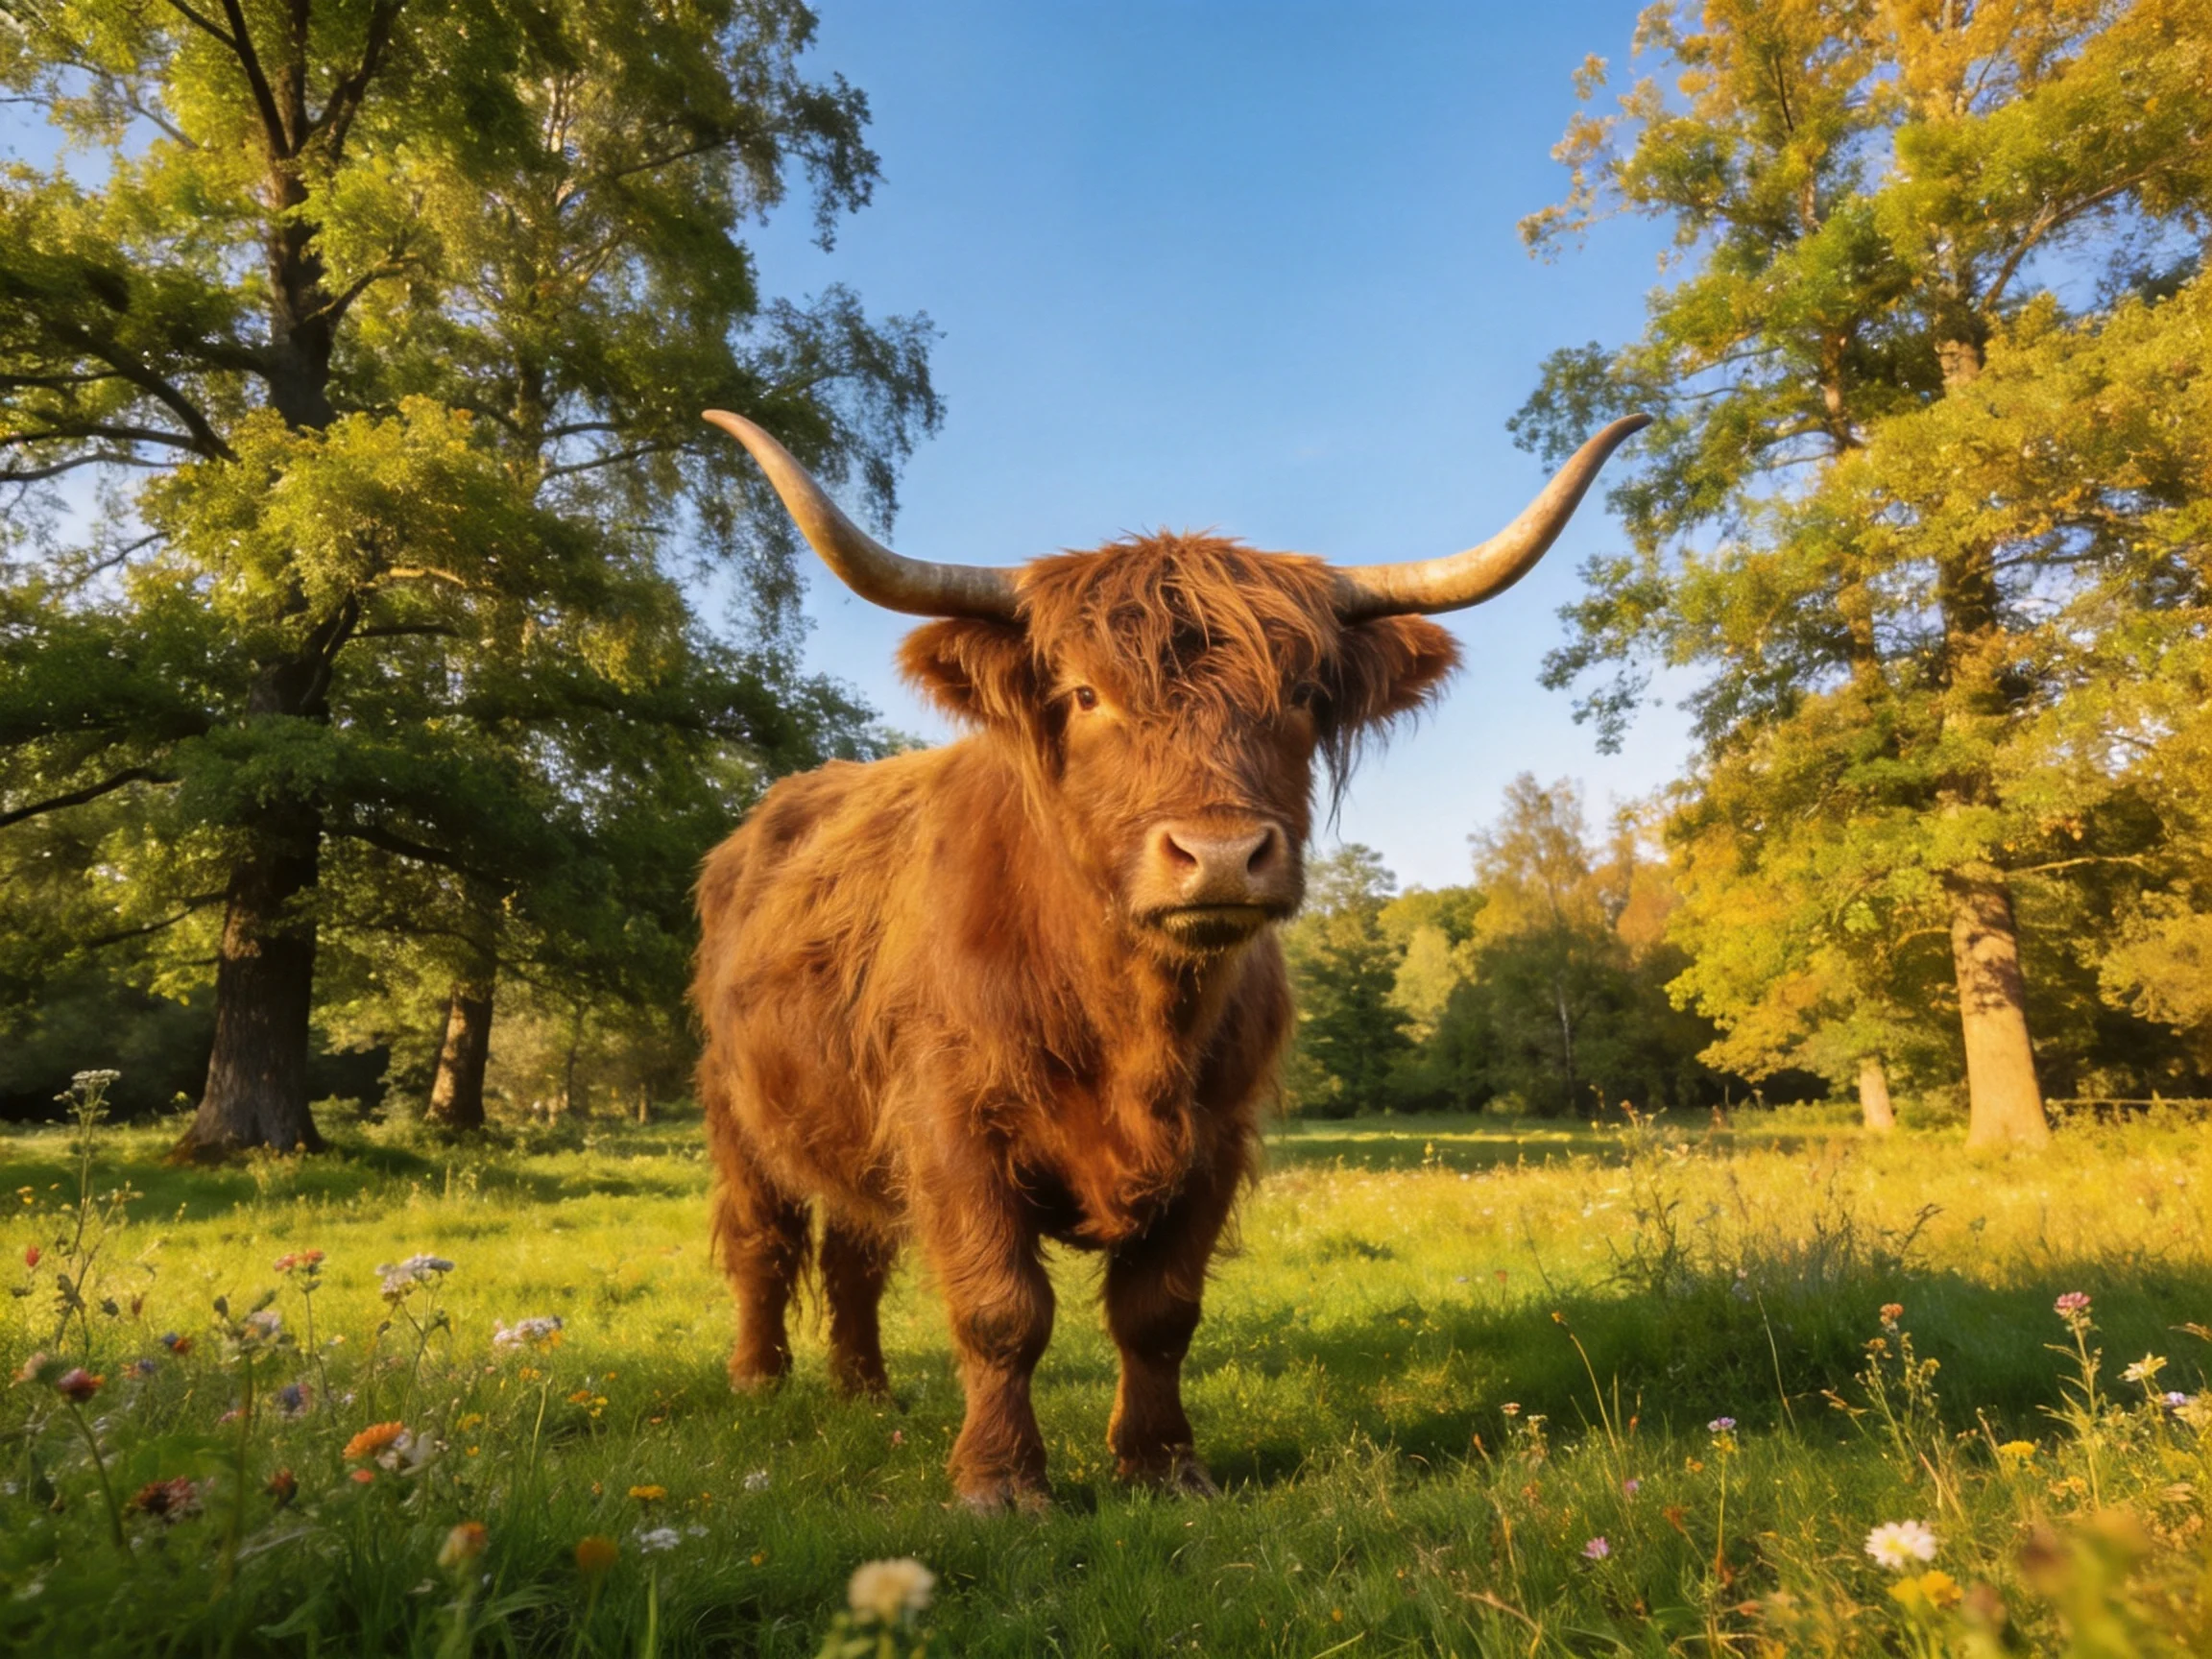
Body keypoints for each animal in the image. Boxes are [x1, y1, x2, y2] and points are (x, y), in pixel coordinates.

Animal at [690, 408, 1646, 1510]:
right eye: (1083, 693)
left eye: (1304, 692)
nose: (1222, 854)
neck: (1131, 1016)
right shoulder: (948, 1119)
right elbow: (1000, 1307)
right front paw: (1000, 1482)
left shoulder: (1216, 1134)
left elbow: (1158, 1312)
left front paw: (1161, 1463)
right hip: (736, 1108)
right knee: (762, 1242)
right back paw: (758, 1382)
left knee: (855, 1253)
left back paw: (866, 1393)